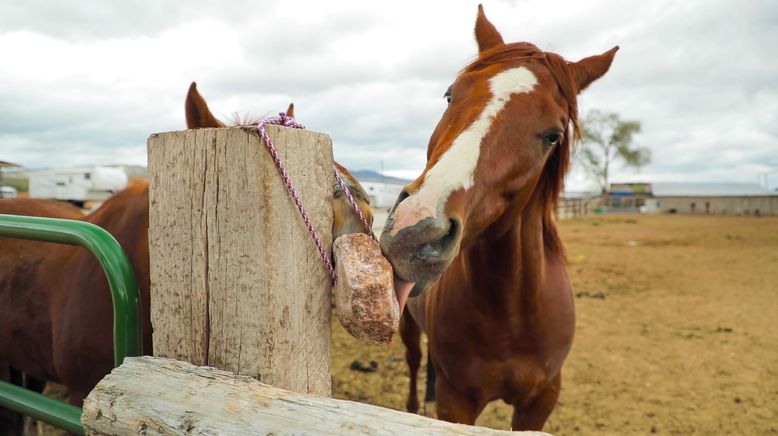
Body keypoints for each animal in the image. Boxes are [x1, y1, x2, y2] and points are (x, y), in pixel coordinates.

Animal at [378, 5, 616, 430]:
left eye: (553, 135)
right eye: (450, 95)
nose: (415, 231)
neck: (511, 316)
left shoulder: (540, 401)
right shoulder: (456, 402)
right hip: (406, 326)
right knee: (414, 362)